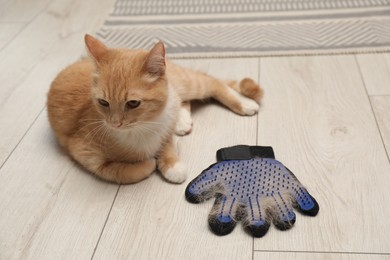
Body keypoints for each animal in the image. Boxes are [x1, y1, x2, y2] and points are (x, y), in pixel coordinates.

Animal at [47, 35, 264, 185]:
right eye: (103, 102)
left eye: (133, 103)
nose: (115, 123)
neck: (144, 126)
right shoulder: (84, 154)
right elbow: (119, 172)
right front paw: (150, 163)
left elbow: (166, 142)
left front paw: (171, 165)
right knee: (185, 101)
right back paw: (182, 121)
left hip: (188, 83)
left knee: (213, 83)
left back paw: (245, 104)